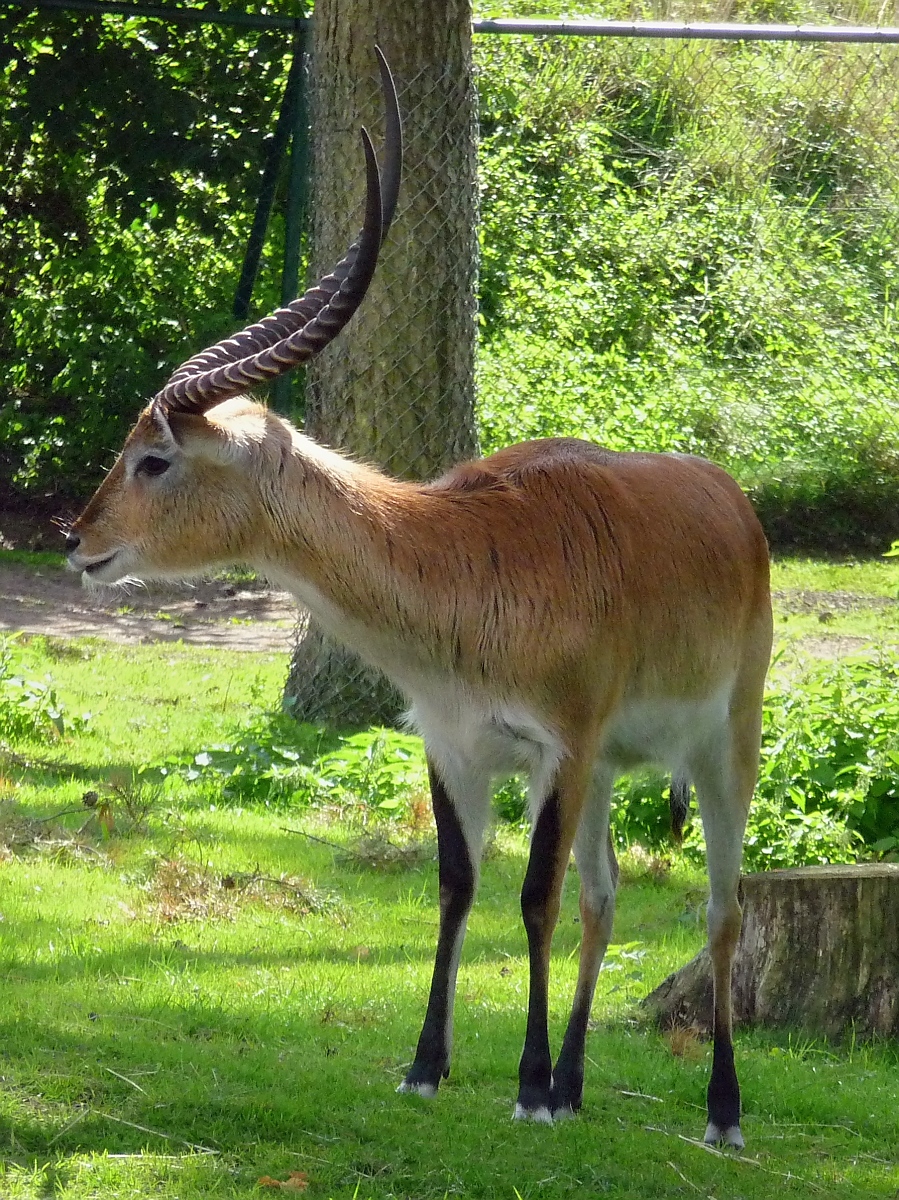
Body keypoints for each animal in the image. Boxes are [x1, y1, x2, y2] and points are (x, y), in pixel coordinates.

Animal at [66, 49, 772, 1152]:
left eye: (155, 457)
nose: (78, 541)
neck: (466, 565)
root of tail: (728, 499)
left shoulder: (558, 748)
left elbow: (527, 896)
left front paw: (523, 1086)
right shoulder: (452, 742)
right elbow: (456, 884)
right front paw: (430, 1067)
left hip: (718, 746)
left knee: (719, 908)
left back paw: (719, 1112)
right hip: (615, 765)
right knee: (605, 896)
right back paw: (578, 1082)